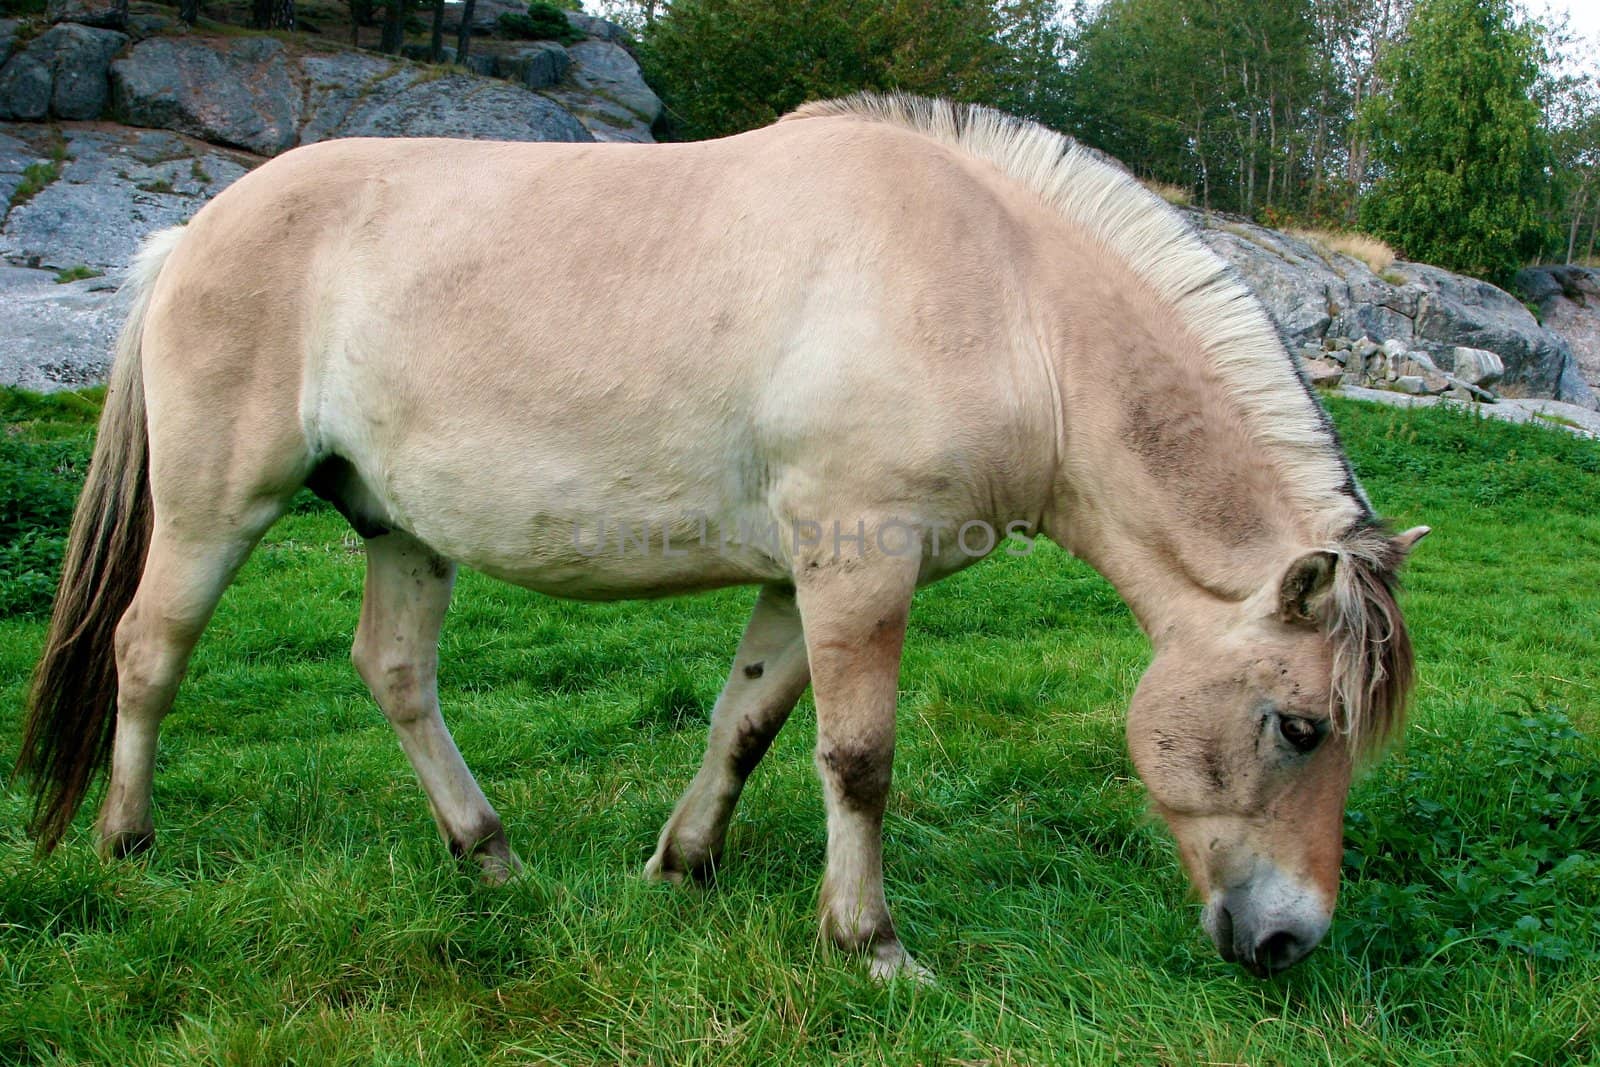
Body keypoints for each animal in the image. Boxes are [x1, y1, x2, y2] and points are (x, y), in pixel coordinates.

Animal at [15, 95, 1427, 979]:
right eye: (1301, 726)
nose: (1288, 941)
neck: (1006, 301)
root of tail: (194, 231)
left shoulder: (798, 581)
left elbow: (744, 724)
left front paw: (680, 866)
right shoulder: (860, 565)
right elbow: (857, 757)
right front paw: (871, 945)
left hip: (400, 526)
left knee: (396, 673)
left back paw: (491, 857)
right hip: (216, 507)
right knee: (150, 649)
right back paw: (128, 845)